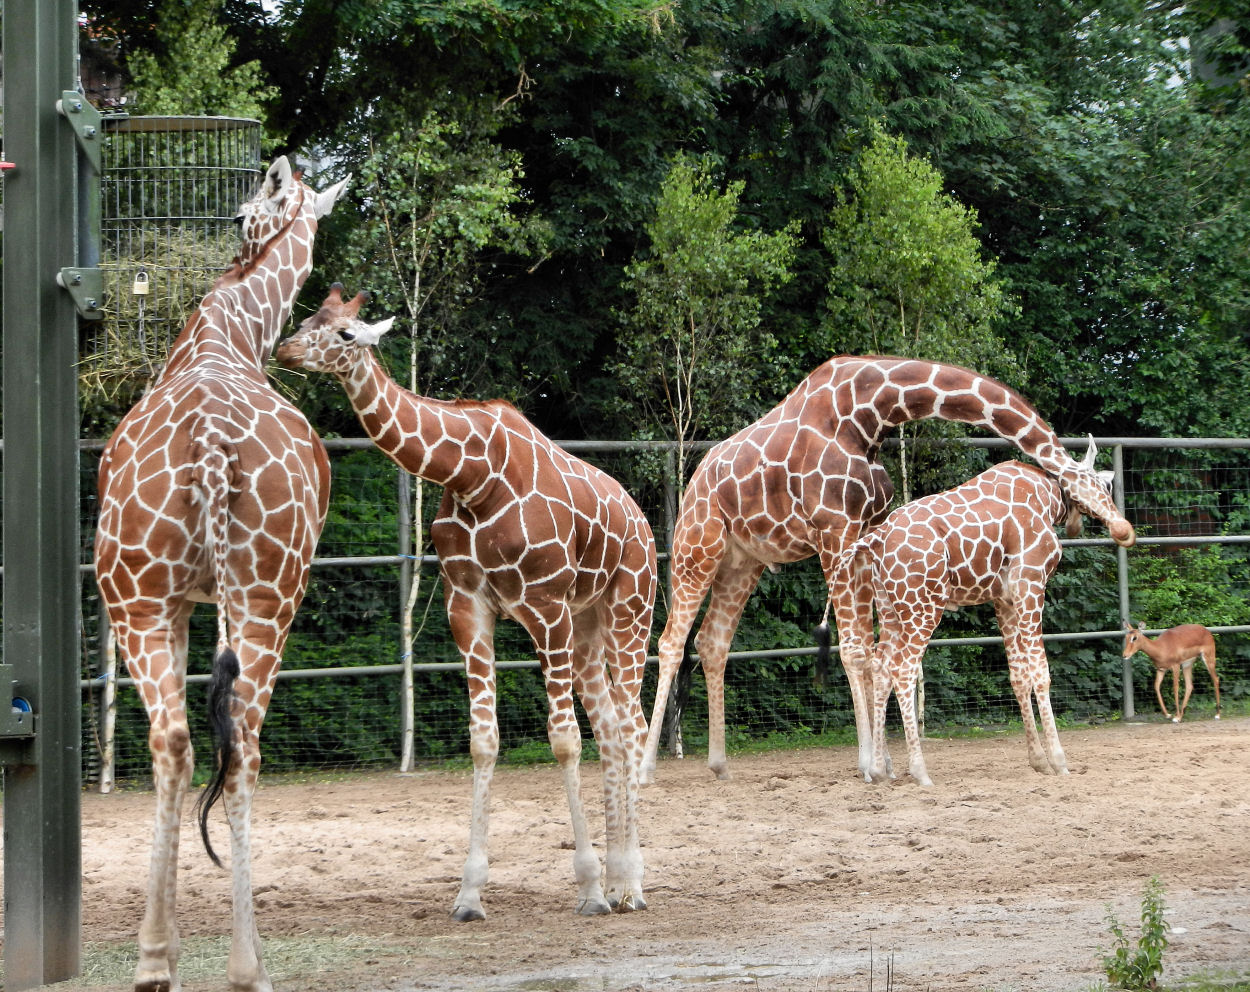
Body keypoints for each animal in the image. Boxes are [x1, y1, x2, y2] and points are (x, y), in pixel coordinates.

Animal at [93, 156, 350, 989]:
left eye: (240, 214)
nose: (234, 235)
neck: (229, 331)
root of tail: (208, 441)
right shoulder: (216, 599)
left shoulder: (182, 601)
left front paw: (170, 946)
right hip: (268, 593)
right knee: (237, 744)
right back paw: (243, 965)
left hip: (139, 596)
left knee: (176, 740)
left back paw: (165, 959)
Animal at [275, 286, 660, 919]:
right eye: (308, 319)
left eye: (346, 334)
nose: (285, 349)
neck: (471, 474)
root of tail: (643, 522)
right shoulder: (469, 606)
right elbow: (484, 742)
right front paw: (469, 893)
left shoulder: (545, 605)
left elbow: (562, 741)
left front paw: (587, 887)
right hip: (586, 625)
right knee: (609, 727)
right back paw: (619, 877)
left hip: (630, 607)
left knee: (630, 725)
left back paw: (629, 885)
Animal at [845, 457, 1110, 789]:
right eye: (1103, 485)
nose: (1112, 517)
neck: (1049, 497)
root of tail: (875, 540)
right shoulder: (1031, 584)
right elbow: (1041, 673)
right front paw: (1059, 762)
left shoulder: (1004, 599)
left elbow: (1018, 676)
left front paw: (1038, 761)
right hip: (923, 607)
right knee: (903, 670)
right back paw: (920, 771)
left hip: (889, 607)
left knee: (881, 667)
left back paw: (880, 770)